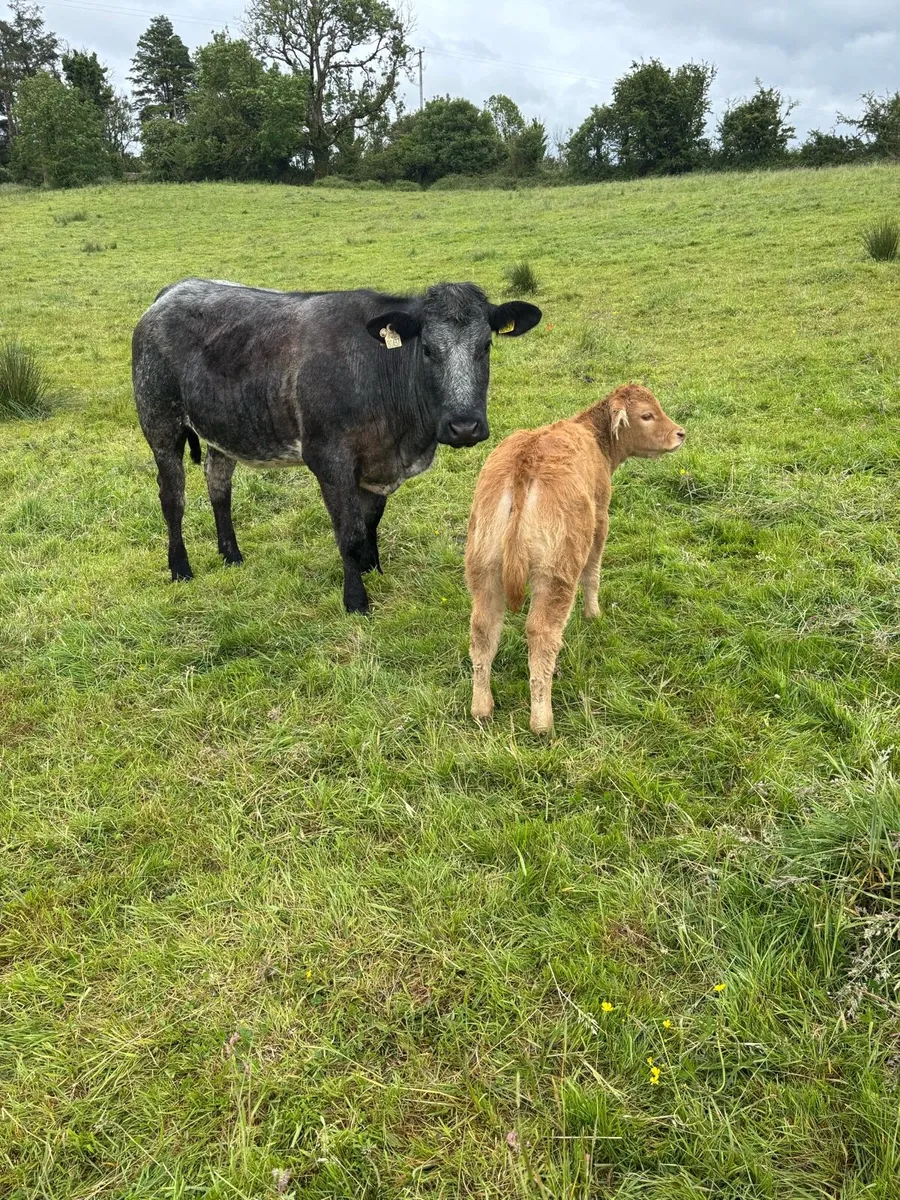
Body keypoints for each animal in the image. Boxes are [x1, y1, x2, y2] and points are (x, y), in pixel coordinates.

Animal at [132, 278, 542, 612]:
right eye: (427, 349)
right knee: (172, 498)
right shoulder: (329, 459)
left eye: (486, 345)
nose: (464, 426)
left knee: (219, 486)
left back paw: (231, 554)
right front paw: (356, 598)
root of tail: (174, 290)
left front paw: (372, 567)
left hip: (223, 430)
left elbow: (370, 520)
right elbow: (349, 532)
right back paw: (180, 567)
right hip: (160, 423)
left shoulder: (376, 462)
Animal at [465, 384, 686, 733]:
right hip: (556, 571)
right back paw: (542, 720)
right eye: (647, 415)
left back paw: (482, 707)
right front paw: (593, 614)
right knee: (541, 632)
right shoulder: (601, 517)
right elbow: (592, 572)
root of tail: (525, 462)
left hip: (482, 565)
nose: (680, 433)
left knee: (483, 630)